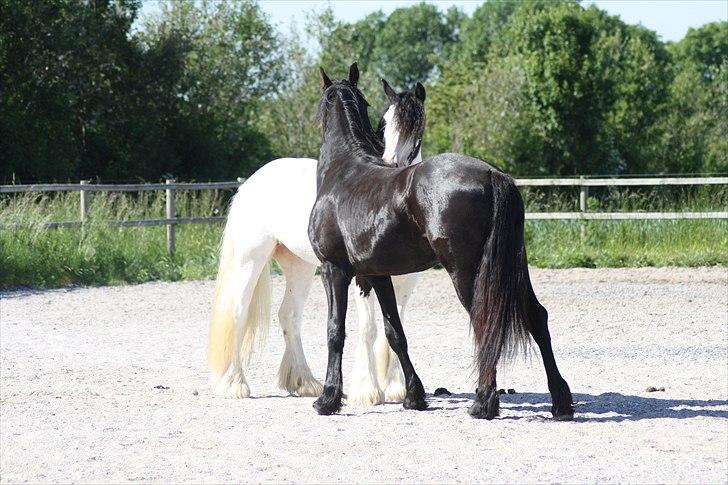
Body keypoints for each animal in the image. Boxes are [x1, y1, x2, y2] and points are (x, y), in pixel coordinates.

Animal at [208, 77, 426, 404]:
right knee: (238, 311)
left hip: (299, 265)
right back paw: (235, 384)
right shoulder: (364, 278)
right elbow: (369, 328)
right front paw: (367, 391)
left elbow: (395, 327)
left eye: (417, 123)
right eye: (385, 122)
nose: (392, 164)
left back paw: (303, 381)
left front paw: (396, 387)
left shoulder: (403, 283)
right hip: (251, 258)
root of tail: (252, 181)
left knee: (289, 316)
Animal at [308, 63, 576, 420]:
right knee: (536, 315)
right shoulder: (379, 275)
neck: (343, 173)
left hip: (465, 273)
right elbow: (395, 333)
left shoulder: (333, 269)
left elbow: (335, 330)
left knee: (484, 321)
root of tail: (492, 174)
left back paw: (484, 402)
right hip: (514, 267)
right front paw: (414, 396)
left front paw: (328, 398)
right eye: (382, 121)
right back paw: (560, 401)